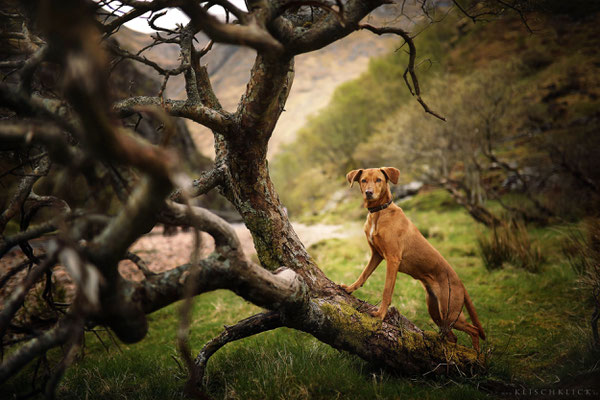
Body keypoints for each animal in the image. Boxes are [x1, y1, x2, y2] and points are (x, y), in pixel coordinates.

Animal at [340, 166, 486, 350]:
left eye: (379, 180)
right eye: (363, 180)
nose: (369, 193)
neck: (379, 212)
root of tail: (461, 283)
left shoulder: (393, 259)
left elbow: (387, 291)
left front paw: (380, 314)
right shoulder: (376, 254)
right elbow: (364, 274)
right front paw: (350, 288)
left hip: (450, 312)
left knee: (474, 330)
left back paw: (477, 355)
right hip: (436, 311)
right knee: (453, 337)